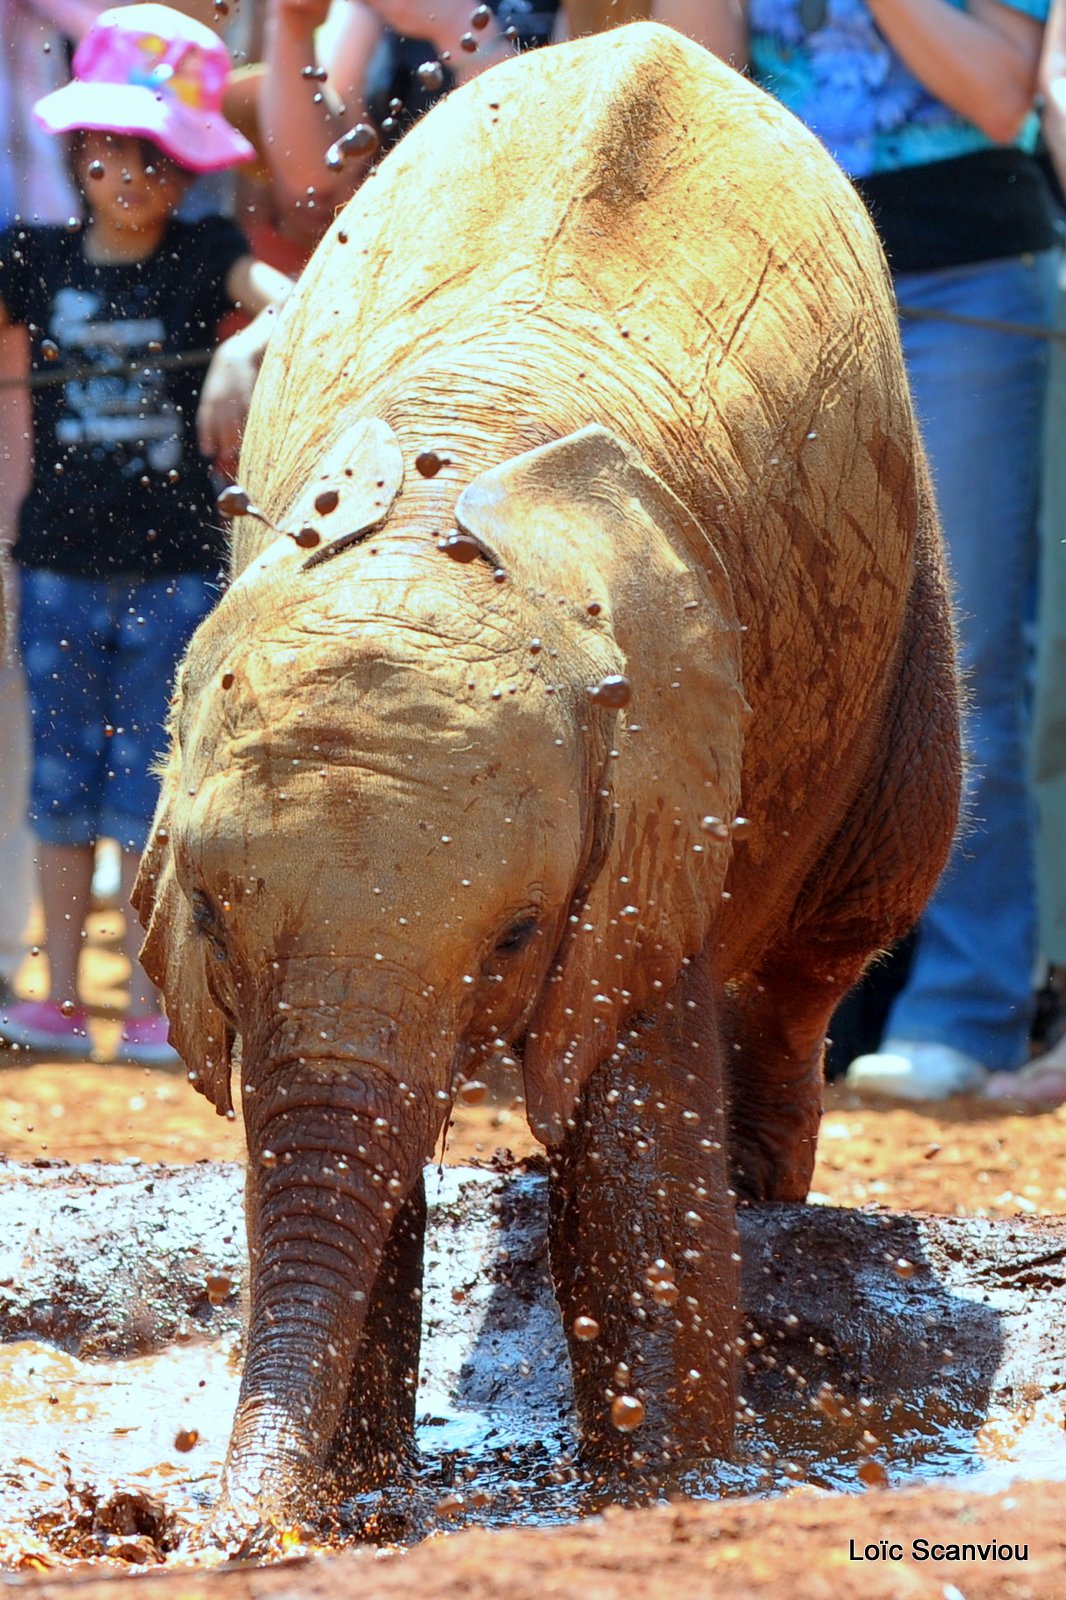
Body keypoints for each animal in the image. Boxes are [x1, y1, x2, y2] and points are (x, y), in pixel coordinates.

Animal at [136, 15, 960, 1536]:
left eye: (517, 933)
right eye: (209, 920)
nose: (213, 1538)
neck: (434, 499)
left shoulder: (655, 792)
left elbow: (630, 1127)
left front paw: (666, 1484)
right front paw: (356, 1505)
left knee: (826, 944)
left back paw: (765, 1198)